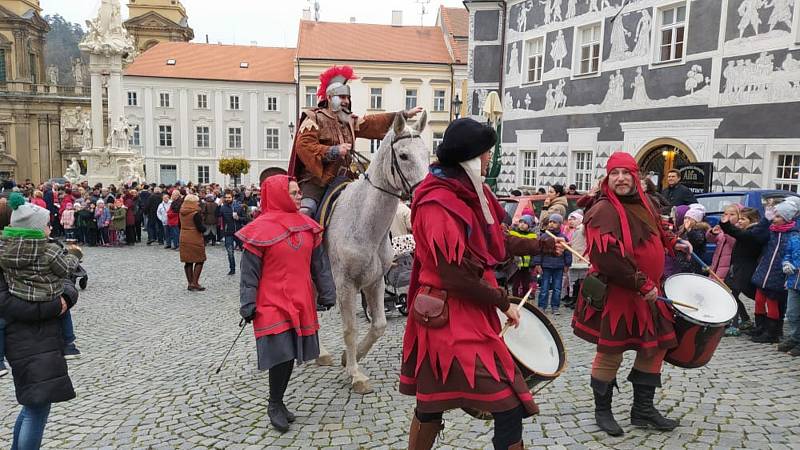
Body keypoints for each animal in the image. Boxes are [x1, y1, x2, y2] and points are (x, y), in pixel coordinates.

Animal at [318, 110, 432, 394]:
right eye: (403, 155)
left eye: (428, 154)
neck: (363, 221)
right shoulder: (345, 285)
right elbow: (350, 329)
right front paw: (355, 374)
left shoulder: (375, 281)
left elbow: (379, 325)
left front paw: (350, 358)